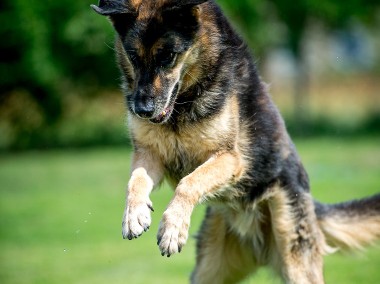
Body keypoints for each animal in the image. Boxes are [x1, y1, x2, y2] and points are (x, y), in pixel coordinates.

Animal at [92, 1, 380, 282]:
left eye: (168, 56)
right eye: (133, 57)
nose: (141, 110)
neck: (184, 104)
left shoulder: (230, 159)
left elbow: (189, 182)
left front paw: (172, 229)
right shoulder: (149, 154)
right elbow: (136, 180)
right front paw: (134, 215)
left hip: (294, 255)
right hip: (209, 268)